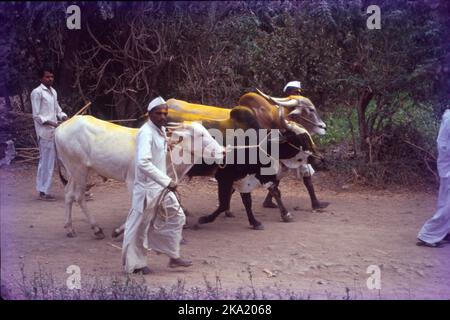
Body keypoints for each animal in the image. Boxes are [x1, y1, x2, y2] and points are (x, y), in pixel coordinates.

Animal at [55, 116, 225, 239]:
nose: (223, 151)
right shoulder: (132, 182)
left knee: (68, 194)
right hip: (80, 170)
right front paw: (119, 230)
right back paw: (96, 229)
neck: (168, 153)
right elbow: (139, 208)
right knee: (78, 196)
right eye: (201, 134)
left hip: (74, 171)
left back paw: (69, 228)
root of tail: (59, 128)